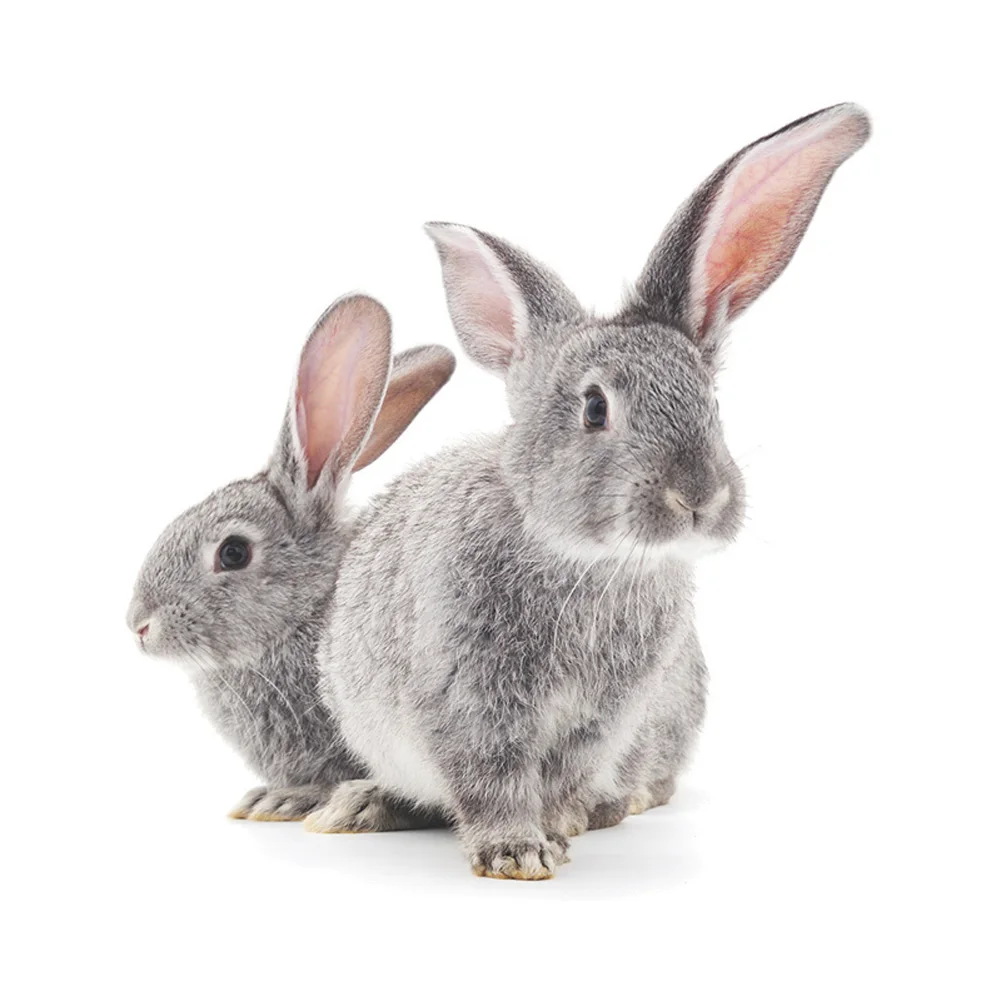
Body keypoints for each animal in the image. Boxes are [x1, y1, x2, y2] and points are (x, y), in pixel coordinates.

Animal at [305, 104, 871, 879]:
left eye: (711, 404)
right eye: (595, 408)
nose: (698, 497)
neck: (591, 560)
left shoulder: (601, 718)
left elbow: (559, 776)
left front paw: (557, 830)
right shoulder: (468, 699)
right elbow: (490, 776)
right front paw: (515, 851)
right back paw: (361, 805)